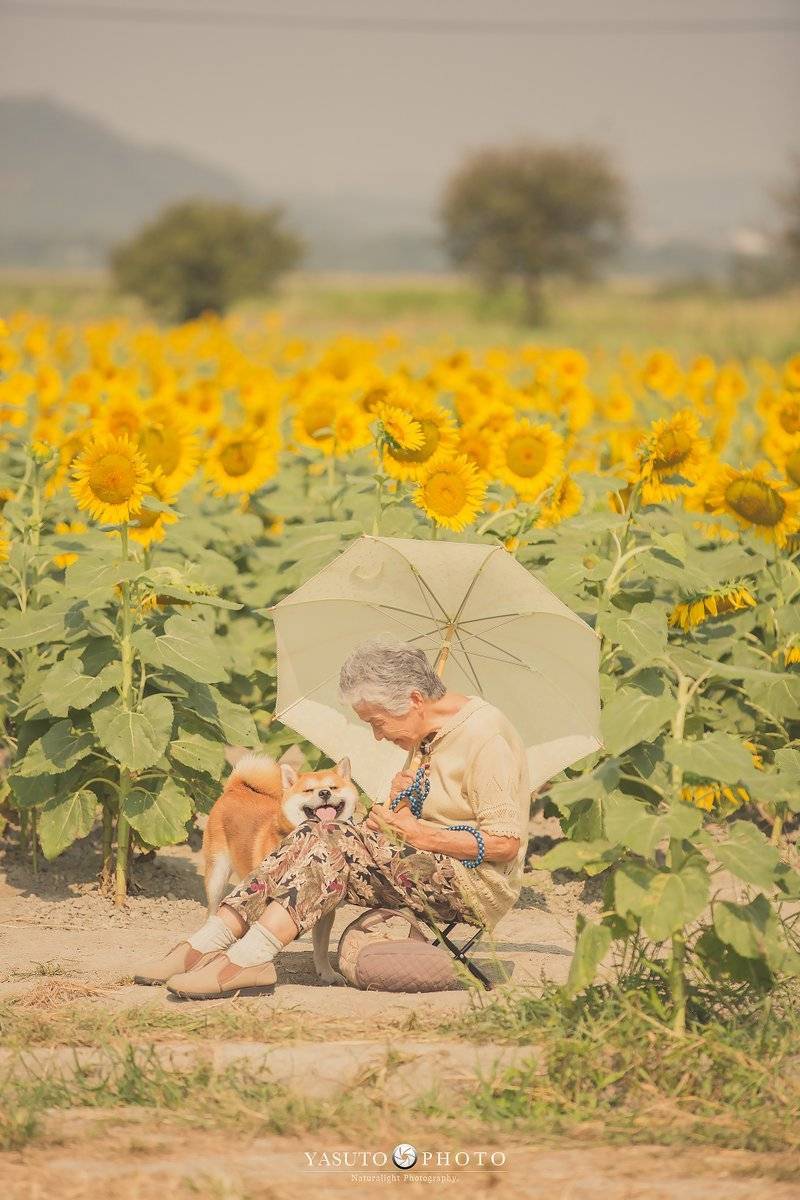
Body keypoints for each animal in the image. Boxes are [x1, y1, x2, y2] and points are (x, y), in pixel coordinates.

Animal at [201, 748, 357, 984]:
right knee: (214, 911)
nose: (324, 793)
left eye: (333, 787)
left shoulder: (324, 909)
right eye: (309, 790)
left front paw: (327, 974)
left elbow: (320, 948)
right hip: (217, 875)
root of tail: (236, 787)